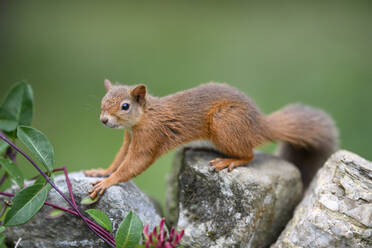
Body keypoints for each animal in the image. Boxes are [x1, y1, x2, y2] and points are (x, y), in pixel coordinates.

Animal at [85, 80, 338, 199]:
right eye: (103, 102)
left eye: (125, 106)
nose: (103, 120)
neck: (144, 117)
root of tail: (259, 125)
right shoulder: (129, 138)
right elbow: (119, 160)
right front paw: (101, 172)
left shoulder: (150, 137)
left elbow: (134, 164)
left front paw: (107, 182)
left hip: (225, 124)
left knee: (249, 155)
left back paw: (229, 161)